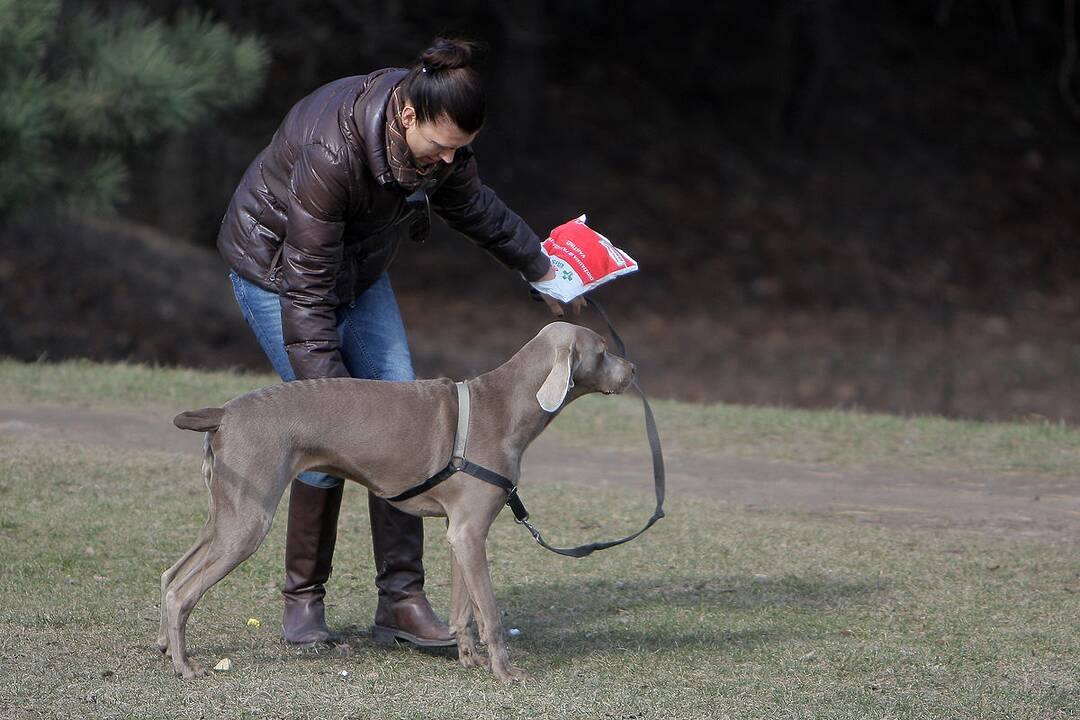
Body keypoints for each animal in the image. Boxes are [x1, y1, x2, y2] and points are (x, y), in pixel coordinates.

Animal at [156, 323, 635, 686]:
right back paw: (186, 667)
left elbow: (464, 610)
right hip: (249, 518)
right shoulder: (470, 532)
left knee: (170, 574)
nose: (632, 369)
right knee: (182, 592)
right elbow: (491, 614)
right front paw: (505, 672)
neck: (504, 406)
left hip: (226, 511)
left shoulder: (461, 533)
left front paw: (470, 659)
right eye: (604, 350)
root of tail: (224, 413)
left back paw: (165, 645)